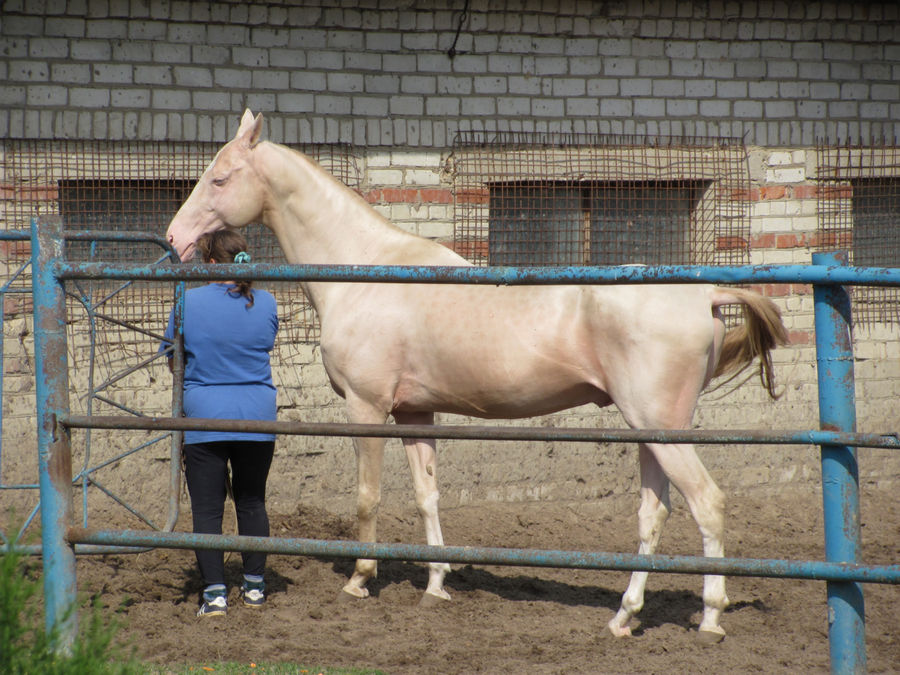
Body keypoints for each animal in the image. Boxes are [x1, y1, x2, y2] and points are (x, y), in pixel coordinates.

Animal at [169, 108, 788, 640]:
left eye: (219, 179)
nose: (176, 239)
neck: (367, 271)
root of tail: (705, 292)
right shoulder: (415, 413)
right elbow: (427, 496)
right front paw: (436, 585)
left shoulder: (367, 409)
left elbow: (368, 496)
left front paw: (360, 580)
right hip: (650, 434)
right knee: (652, 515)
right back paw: (623, 616)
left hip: (661, 430)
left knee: (707, 503)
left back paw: (710, 618)